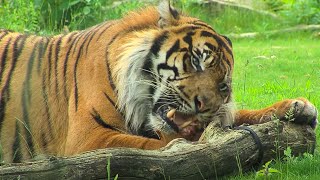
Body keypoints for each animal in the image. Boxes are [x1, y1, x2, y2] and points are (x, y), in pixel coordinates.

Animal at [0, 0, 318, 163]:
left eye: (223, 86)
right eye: (196, 60)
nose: (203, 105)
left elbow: (239, 115)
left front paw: (297, 107)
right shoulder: (87, 138)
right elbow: (149, 144)